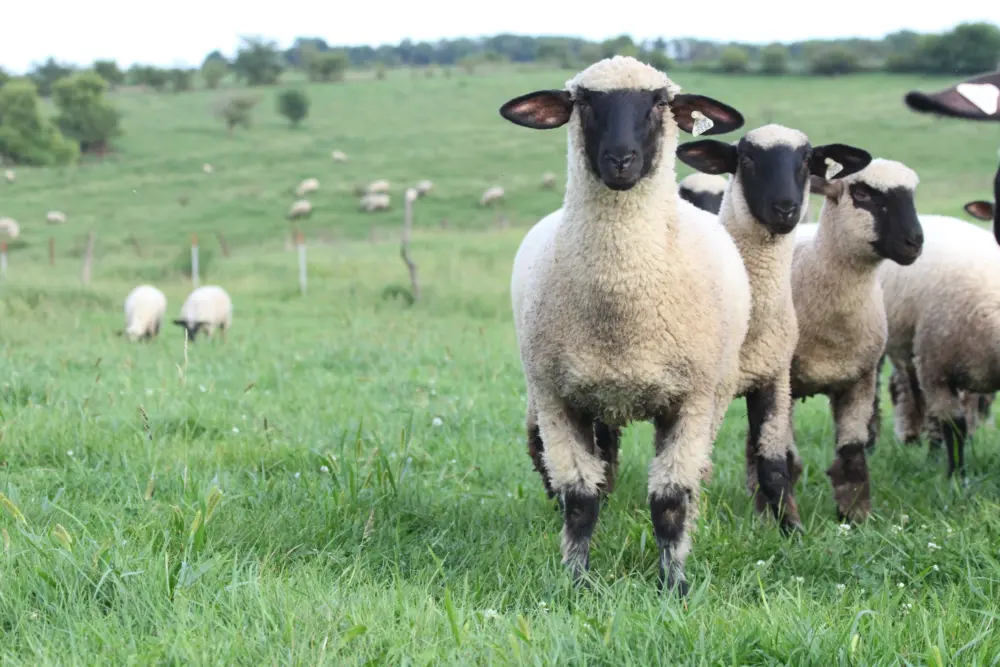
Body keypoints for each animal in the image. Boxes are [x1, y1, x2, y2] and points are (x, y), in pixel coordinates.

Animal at [502, 55, 748, 593]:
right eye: (584, 102)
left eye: (659, 102)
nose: (620, 160)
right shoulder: (558, 397)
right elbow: (579, 499)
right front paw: (575, 582)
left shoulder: (691, 399)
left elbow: (670, 501)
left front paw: (673, 586)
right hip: (592, 397)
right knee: (602, 465)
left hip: (712, 396)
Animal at [676, 126, 871, 530]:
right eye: (747, 159)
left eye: (807, 160)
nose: (786, 208)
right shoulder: (710, 387)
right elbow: (697, 465)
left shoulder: (774, 377)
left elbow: (773, 465)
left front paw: (791, 529)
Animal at [788, 159, 924, 521]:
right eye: (862, 194)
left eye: (912, 194)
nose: (915, 242)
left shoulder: (859, 378)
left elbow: (852, 453)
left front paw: (854, 517)